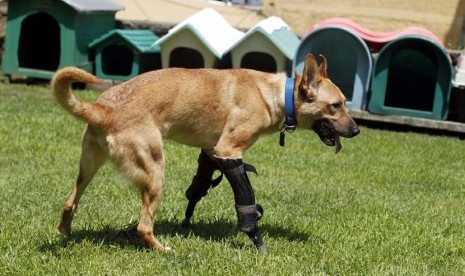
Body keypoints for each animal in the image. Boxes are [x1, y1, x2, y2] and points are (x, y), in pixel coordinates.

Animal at [50, 52, 358, 251]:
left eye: (345, 102)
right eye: (336, 106)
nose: (356, 131)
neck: (276, 95)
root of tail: (102, 109)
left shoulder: (211, 151)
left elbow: (198, 189)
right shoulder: (229, 150)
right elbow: (245, 198)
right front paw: (255, 239)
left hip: (88, 168)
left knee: (69, 203)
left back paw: (63, 233)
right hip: (155, 170)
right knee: (143, 226)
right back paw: (163, 249)